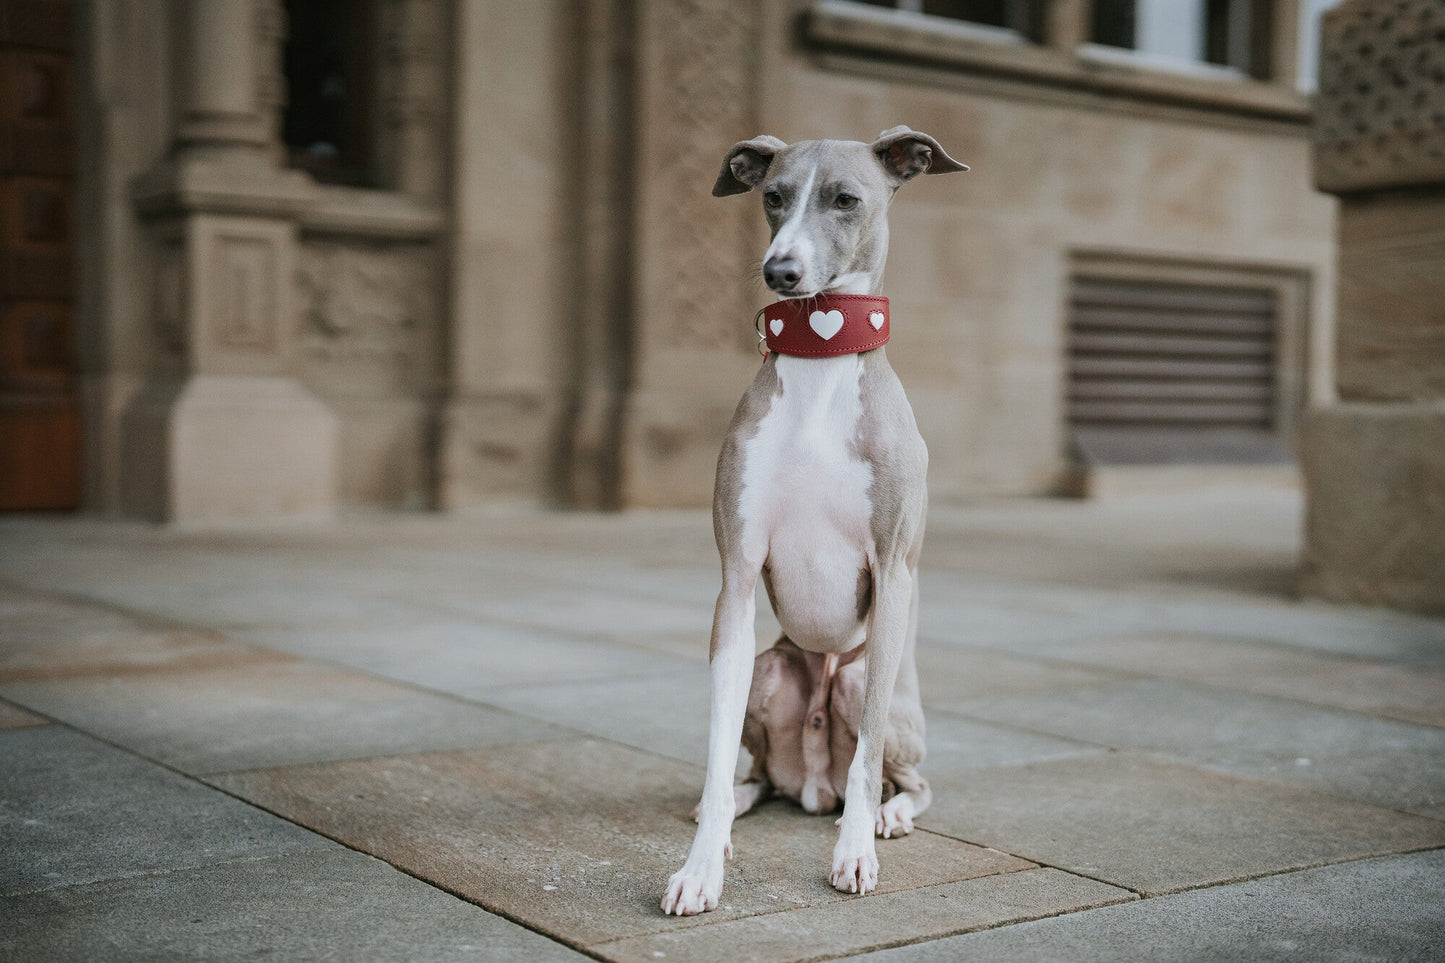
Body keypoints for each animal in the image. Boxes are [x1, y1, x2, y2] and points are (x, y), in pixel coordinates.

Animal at [664, 127, 971, 913]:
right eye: (772, 196)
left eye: (846, 200)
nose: (781, 271)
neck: (819, 367)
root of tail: (811, 786)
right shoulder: (737, 577)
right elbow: (715, 754)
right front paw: (700, 866)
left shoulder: (891, 574)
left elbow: (866, 762)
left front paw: (856, 852)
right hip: (771, 667)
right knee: (758, 774)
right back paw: (742, 804)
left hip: (867, 684)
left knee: (902, 777)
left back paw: (888, 816)